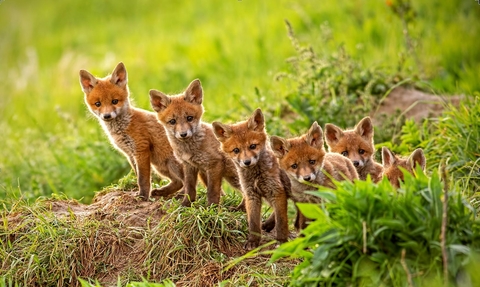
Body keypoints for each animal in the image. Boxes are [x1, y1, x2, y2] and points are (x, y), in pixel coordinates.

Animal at [79, 62, 184, 200]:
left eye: (114, 101)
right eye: (98, 104)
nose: (107, 116)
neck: (123, 128)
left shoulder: (141, 149)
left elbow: (143, 179)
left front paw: (142, 197)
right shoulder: (130, 154)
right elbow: (138, 175)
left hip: (170, 163)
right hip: (161, 166)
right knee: (178, 182)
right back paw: (162, 192)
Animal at [149, 80, 242, 208]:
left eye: (189, 118)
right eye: (172, 121)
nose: (183, 134)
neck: (189, 150)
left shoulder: (215, 164)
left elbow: (212, 191)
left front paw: (211, 207)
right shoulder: (189, 165)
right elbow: (190, 188)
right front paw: (185, 205)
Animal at [213, 109, 288, 251]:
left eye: (253, 146)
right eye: (236, 150)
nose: (247, 162)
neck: (256, 176)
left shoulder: (276, 191)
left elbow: (282, 221)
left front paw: (282, 241)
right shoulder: (251, 194)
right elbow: (253, 222)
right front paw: (253, 241)